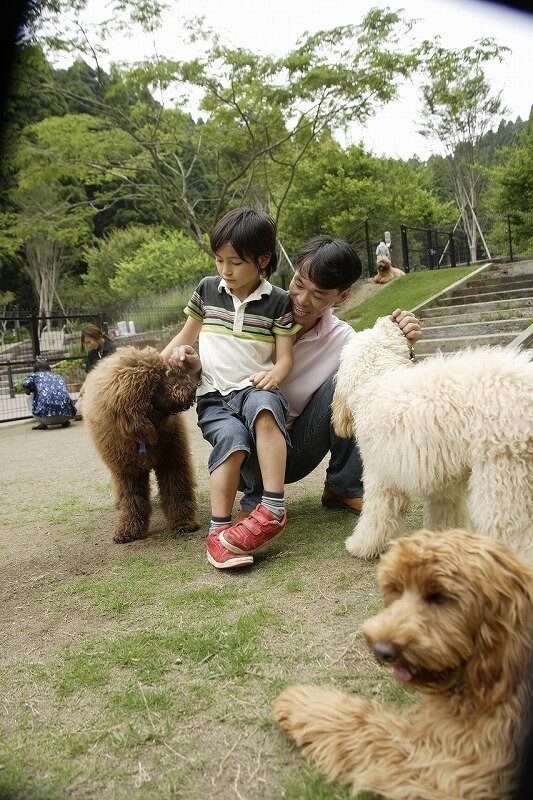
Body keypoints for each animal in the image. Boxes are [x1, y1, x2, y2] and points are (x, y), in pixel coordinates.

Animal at [83, 346, 200, 544]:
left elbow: (176, 490)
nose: (192, 388)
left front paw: (183, 522)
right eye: (157, 381)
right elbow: (132, 499)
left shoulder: (172, 461)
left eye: (166, 370)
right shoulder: (127, 472)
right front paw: (128, 530)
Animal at [272, 532, 532, 800]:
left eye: (440, 596)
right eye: (396, 588)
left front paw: (301, 701)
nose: (382, 650)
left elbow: (367, 725)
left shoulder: (457, 767)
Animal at [330, 318, 532, 564]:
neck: (377, 381)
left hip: (503, 481)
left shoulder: (381, 478)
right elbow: (446, 515)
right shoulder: (443, 483)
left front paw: (360, 545)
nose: (391, 318)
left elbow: (376, 516)